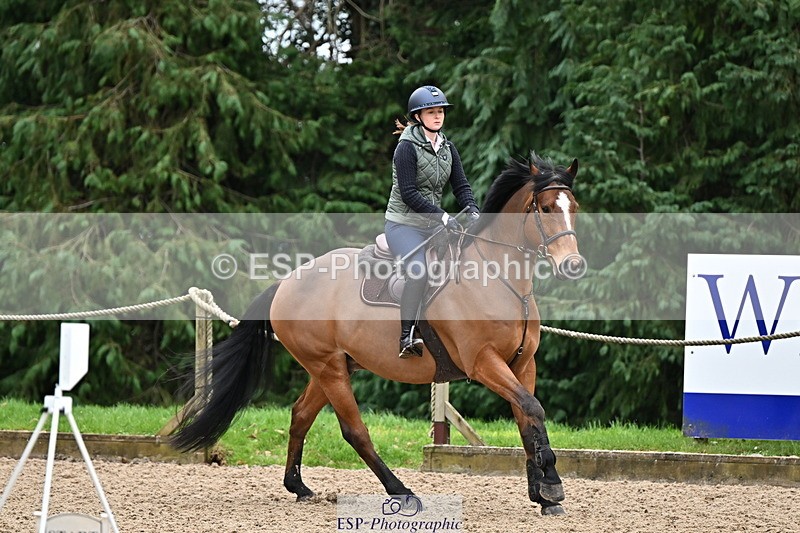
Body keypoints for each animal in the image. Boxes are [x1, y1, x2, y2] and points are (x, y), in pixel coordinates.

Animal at [172, 152, 583, 516]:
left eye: (574, 207)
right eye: (547, 208)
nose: (573, 265)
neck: (499, 279)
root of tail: (287, 282)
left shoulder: (522, 364)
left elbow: (527, 418)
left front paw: (543, 494)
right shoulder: (483, 363)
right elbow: (532, 409)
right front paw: (551, 486)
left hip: (334, 366)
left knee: (301, 414)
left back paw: (298, 486)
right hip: (328, 368)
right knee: (355, 431)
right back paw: (402, 493)